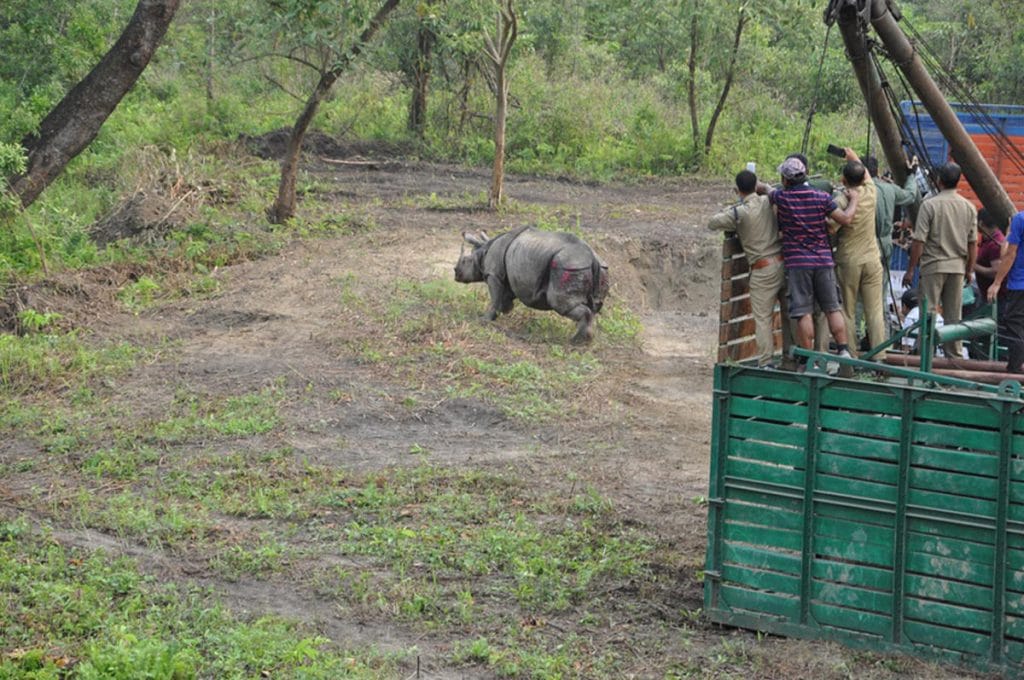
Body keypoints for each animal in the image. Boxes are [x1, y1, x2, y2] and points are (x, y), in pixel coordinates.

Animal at [453, 226, 609, 344]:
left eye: (465, 261)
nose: (455, 274)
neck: (484, 251)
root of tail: (593, 258)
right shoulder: (509, 275)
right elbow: (504, 297)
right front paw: (505, 310)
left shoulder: (494, 275)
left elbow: (495, 298)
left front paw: (485, 320)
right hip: (599, 269)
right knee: (593, 308)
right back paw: (585, 339)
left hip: (567, 267)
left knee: (559, 303)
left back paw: (575, 342)